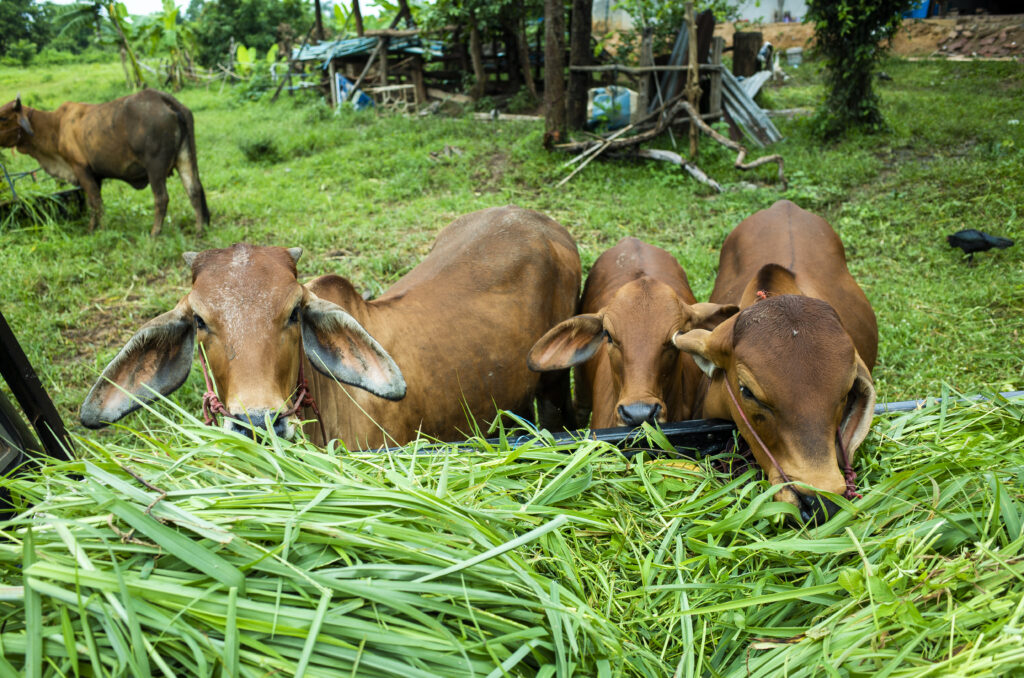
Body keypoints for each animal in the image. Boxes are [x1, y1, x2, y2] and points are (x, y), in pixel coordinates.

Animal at [0, 90, 209, 236]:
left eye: (2, 117)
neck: (55, 127)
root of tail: (163, 98)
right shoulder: (96, 175)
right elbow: (95, 201)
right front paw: (97, 227)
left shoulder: (80, 168)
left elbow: (95, 202)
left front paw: (96, 230)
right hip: (185, 157)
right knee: (194, 189)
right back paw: (200, 229)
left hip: (155, 167)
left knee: (162, 198)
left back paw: (155, 233)